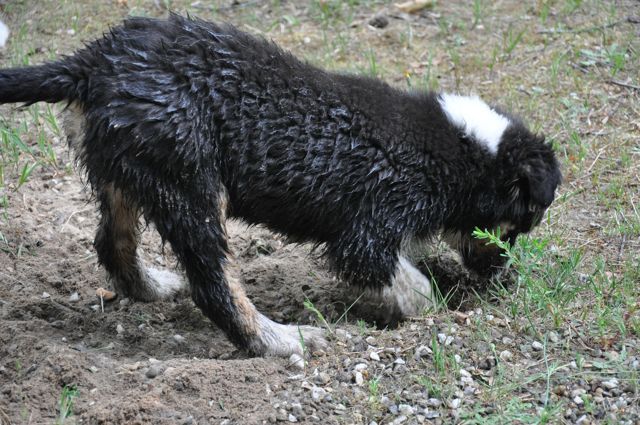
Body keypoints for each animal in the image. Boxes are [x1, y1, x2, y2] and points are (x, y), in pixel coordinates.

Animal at [0, 14, 560, 358]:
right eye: (517, 226)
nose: (501, 278)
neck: (454, 149)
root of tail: (93, 63)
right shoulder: (369, 230)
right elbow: (403, 280)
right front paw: (428, 308)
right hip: (191, 182)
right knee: (215, 285)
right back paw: (283, 341)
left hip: (129, 170)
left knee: (112, 242)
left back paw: (152, 287)